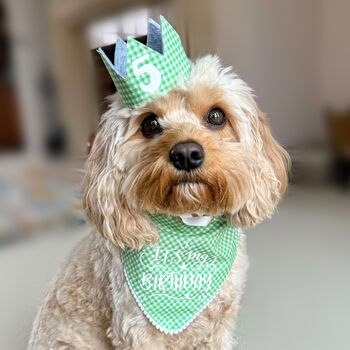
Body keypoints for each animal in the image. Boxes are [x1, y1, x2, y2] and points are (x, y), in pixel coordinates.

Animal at [28, 55, 290, 350]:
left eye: (216, 116)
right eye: (150, 123)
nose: (186, 153)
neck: (189, 226)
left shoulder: (220, 323)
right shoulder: (136, 329)